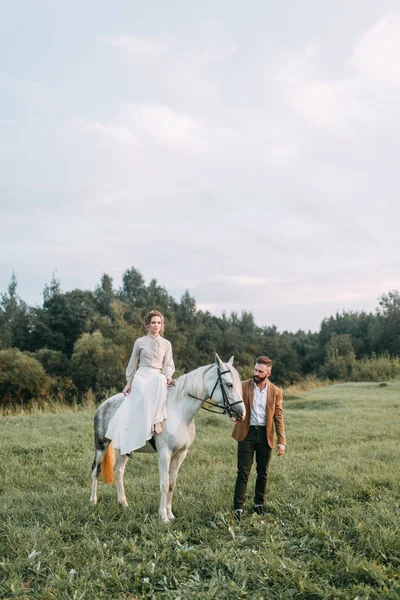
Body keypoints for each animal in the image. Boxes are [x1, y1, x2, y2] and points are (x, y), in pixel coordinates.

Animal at [90, 356, 245, 520]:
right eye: (229, 384)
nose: (242, 413)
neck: (178, 413)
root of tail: (102, 406)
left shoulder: (180, 454)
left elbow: (171, 484)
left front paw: (170, 515)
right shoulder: (165, 454)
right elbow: (164, 485)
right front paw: (163, 516)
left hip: (125, 449)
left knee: (118, 471)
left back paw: (123, 504)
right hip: (101, 445)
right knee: (96, 470)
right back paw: (93, 501)